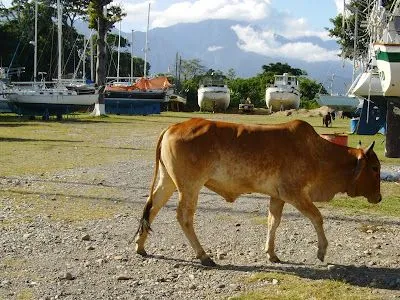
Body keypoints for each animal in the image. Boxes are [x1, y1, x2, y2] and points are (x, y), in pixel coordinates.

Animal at [134, 118, 382, 266]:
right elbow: (317, 217)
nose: (379, 197)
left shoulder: (278, 196)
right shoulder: (295, 194)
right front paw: (321, 251)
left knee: (152, 208)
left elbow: (273, 222)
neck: (318, 153)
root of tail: (173, 127)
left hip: (167, 181)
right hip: (190, 186)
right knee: (183, 217)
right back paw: (203, 255)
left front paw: (271, 253)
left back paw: (140, 246)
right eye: (374, 167)